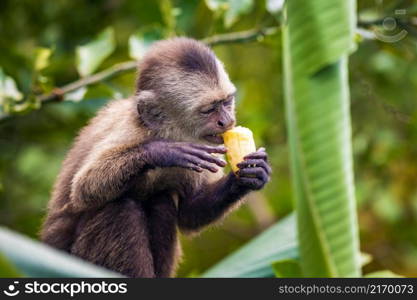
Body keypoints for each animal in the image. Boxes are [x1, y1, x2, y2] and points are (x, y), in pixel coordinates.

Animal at [40, 37, 272, 278]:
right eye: (209, 110)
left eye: (226, 102)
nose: (226, 121)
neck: (166, 131)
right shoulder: (129, 131)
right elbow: (83, 189)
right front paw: (163, 152)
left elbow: (190, 213)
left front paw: (249, 175)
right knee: (121, 207)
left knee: (162, 203)